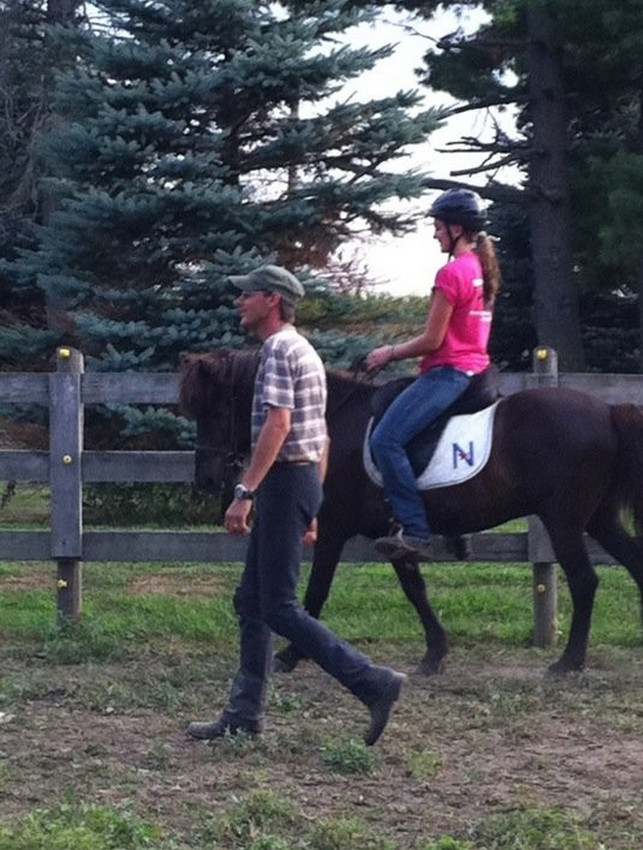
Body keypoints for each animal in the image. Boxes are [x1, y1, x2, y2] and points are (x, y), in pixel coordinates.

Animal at [177, 348, 643, 672]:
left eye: (216, 408)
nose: (206, 479)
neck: (330, 422)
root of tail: (607, 410)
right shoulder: (394, 531)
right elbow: (414, 588)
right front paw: (435, 653)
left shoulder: (332, 527)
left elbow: (317, 590)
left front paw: (291, 654)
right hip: (598, 518)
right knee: (632, 564)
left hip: (563, 520)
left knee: (584, 581)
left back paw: (568, 662)